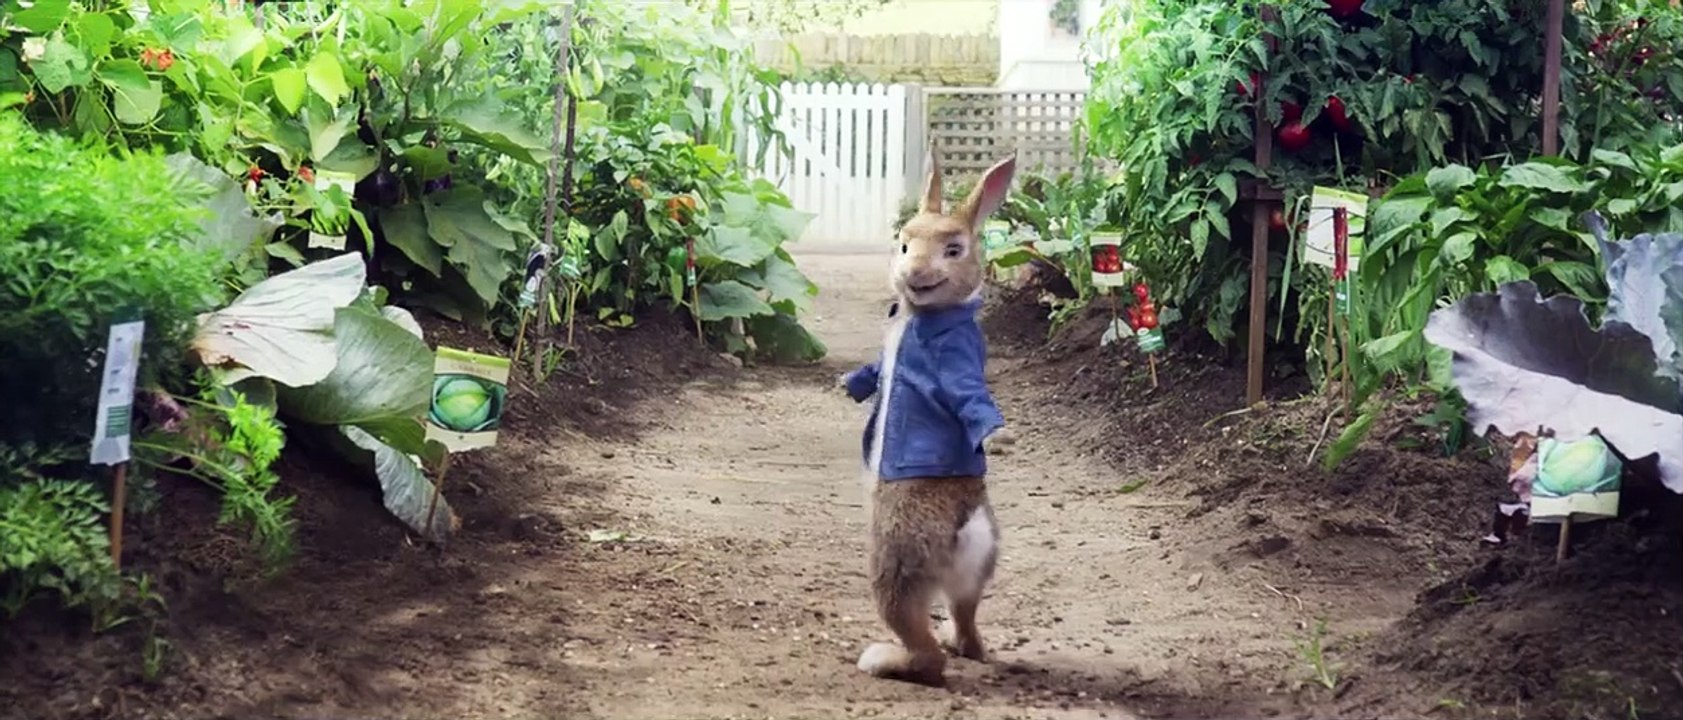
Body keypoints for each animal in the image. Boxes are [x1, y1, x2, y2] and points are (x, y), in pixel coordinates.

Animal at [839, 151, 1016, 686]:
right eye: (903, 242)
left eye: (954, 250)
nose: (912, 271)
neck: (924, 315)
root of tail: (966, 529)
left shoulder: (955, 360)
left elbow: (970, 397)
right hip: (973, 577)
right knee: (967, 619)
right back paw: (964, 645)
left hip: (896, 564)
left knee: (926, 654)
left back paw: (884, 659)